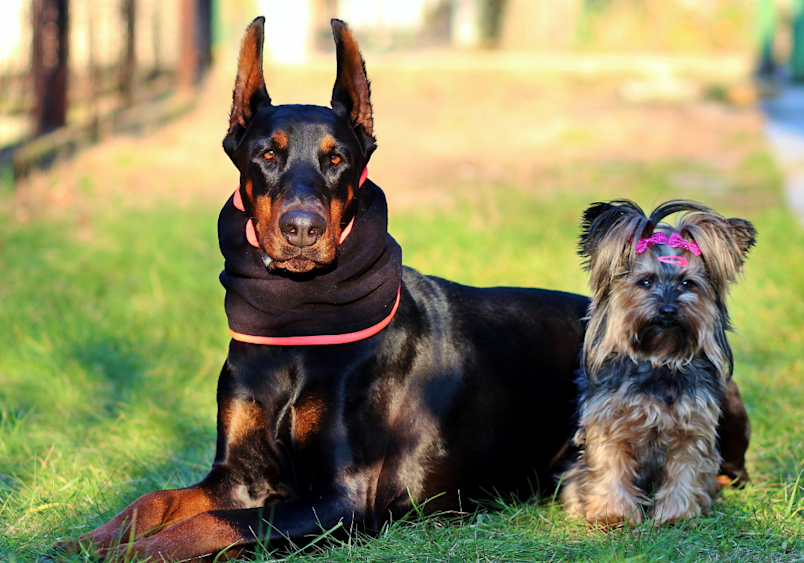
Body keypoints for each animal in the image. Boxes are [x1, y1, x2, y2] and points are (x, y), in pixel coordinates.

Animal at [53, 18, 752, 563]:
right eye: (266, 155)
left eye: (338, 157)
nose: (301, 229)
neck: (294, 328)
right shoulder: (238, 474)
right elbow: (158, 500)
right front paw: (88, 538)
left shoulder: (342, 501)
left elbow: (212, 525)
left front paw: (135, 554)